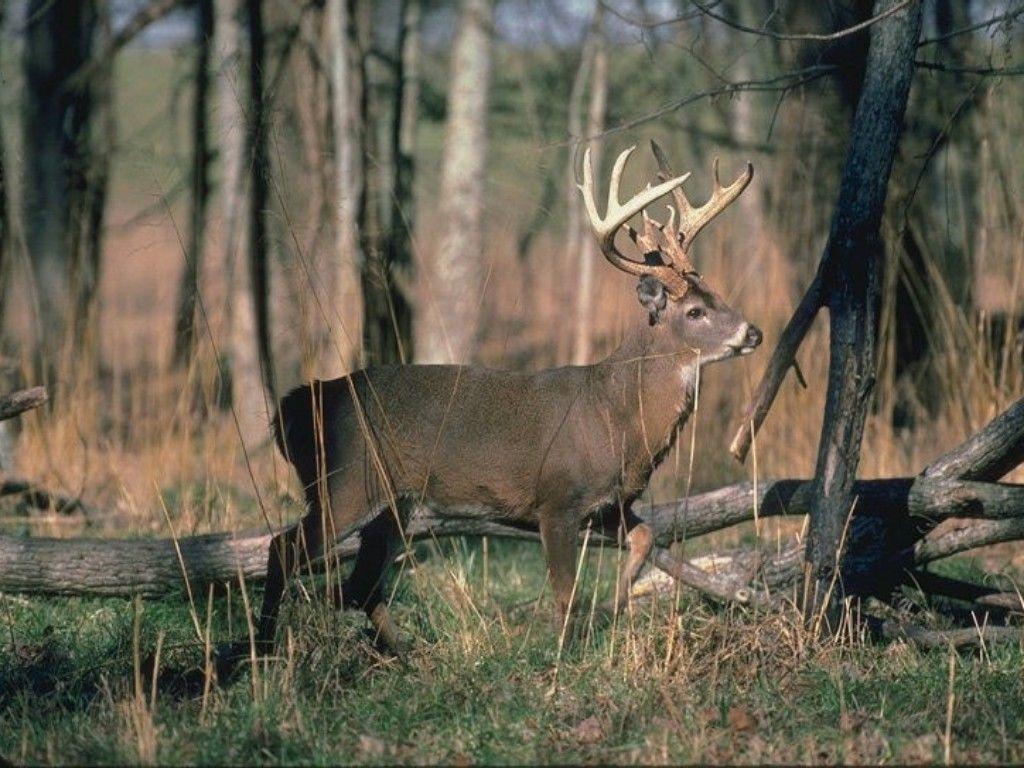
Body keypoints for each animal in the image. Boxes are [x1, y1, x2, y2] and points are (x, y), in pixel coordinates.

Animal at [246, 141, 762, 660]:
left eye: (715, 294)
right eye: (694, 312)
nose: (753, 331)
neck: (616, 416)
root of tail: (294, 406)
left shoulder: (609, 505)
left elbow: (646, 537)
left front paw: (609, 609)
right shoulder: (557, 499)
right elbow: (565, 591)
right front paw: (563, 655)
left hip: (395, 505)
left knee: (361, 584)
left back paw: (406, 657)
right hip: (346, 482)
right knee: (285, 549)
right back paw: (263, 647)